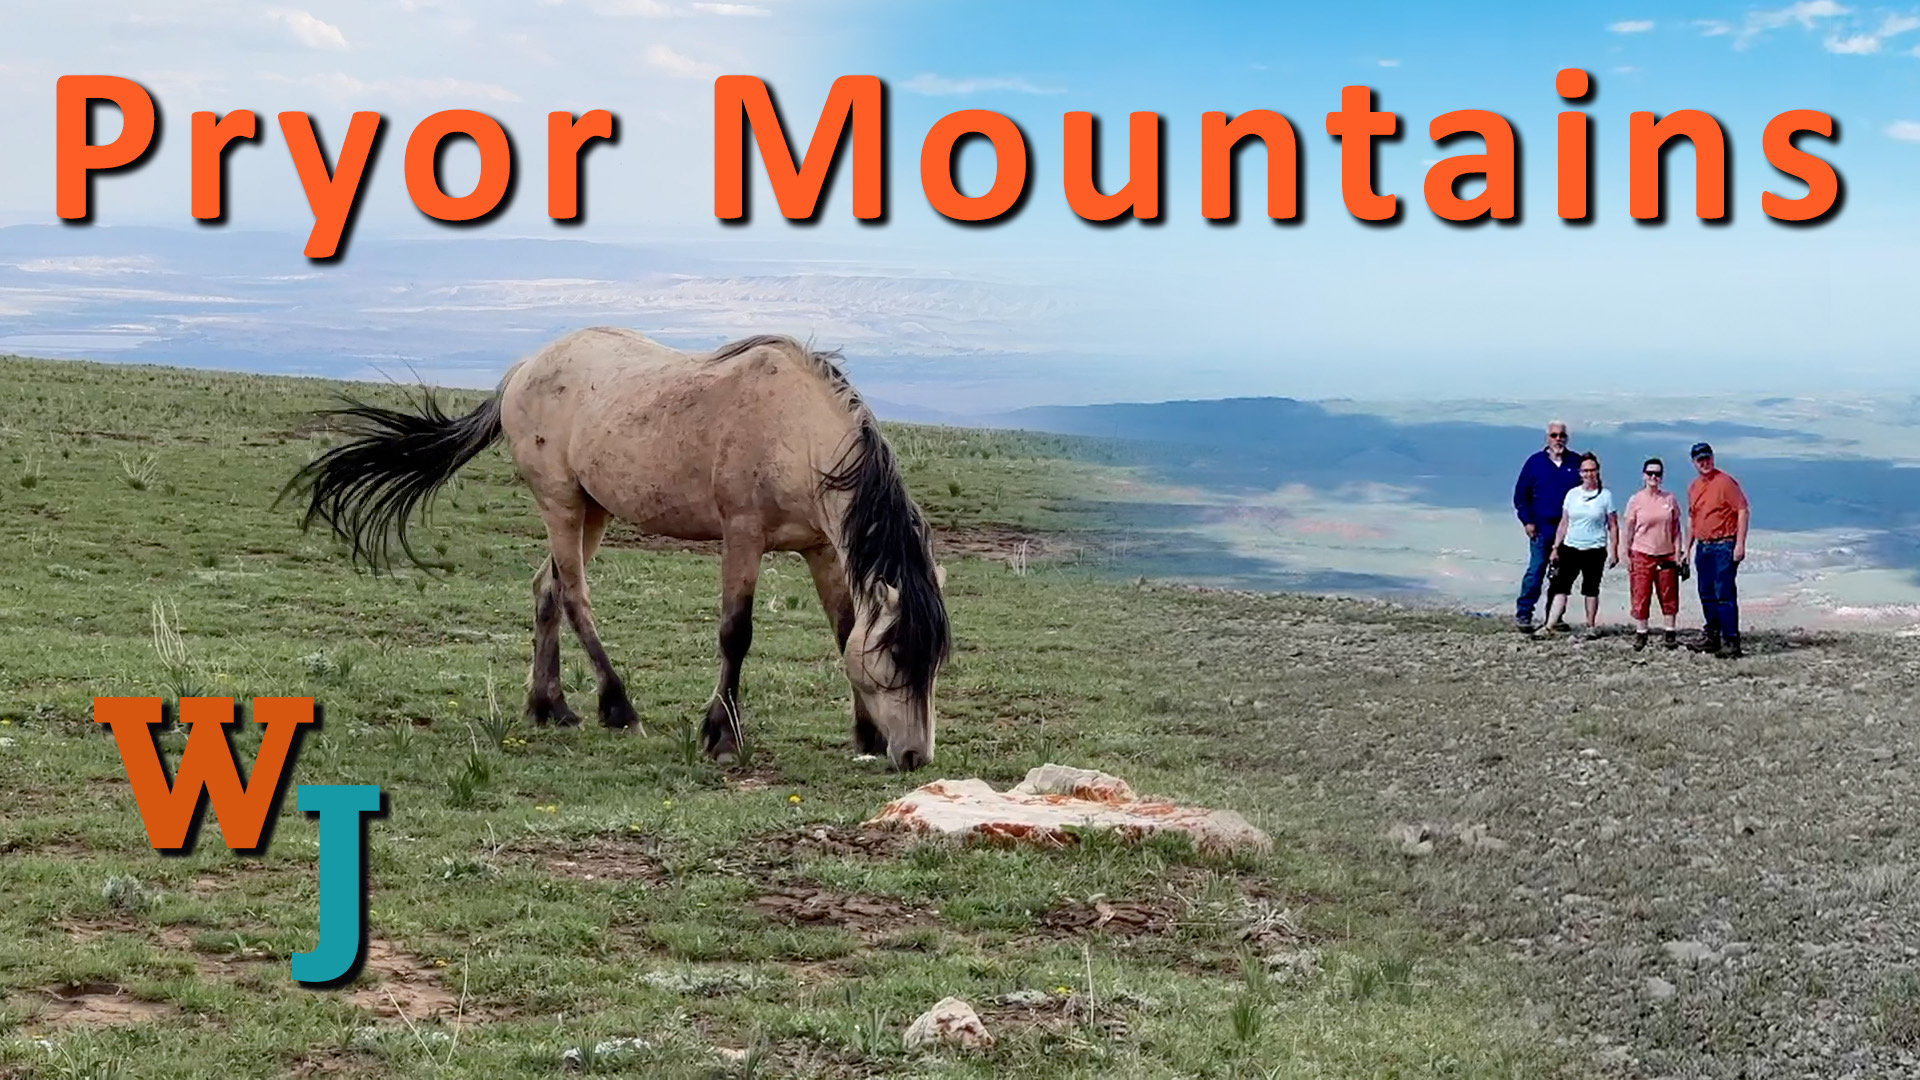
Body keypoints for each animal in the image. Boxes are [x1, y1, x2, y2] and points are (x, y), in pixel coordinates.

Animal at [280, 326, 948, 764]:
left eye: (933, 661)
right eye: (894, 659)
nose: (915, 756)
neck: (794, 428)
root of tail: (523, 369)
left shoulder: (821, 549)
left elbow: (843, 631)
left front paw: (865, 736)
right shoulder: (743, 536)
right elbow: (736, 632)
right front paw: (720, 736)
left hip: (592, 509)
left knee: (546, 589)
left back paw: (549, 707)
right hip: (561, 503)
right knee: (574, 597)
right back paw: (617, 708)